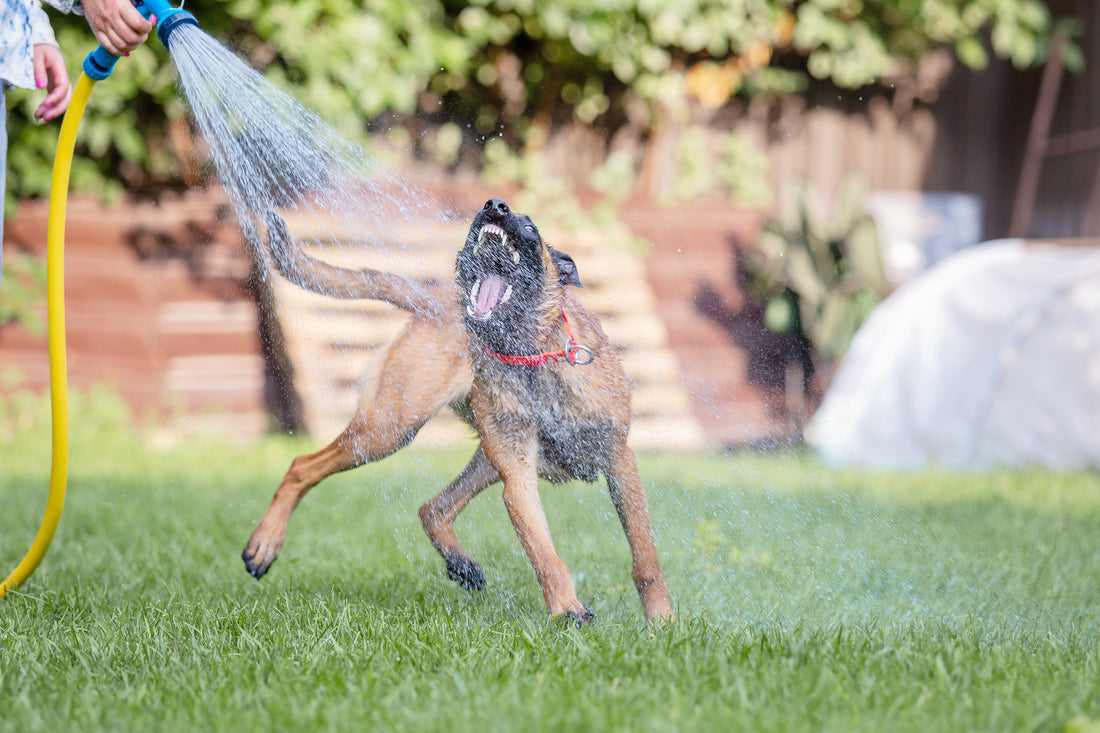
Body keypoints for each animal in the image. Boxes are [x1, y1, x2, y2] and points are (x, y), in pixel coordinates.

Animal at [243, 197, 668, 620]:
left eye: (531, 227)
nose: (495, 205)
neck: (530, 356)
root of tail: (435, 299)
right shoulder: (518, 477)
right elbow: (544, 554)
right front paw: (568, 611)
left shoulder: (619, 460)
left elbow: (645, 556)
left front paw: (661, 621)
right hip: (390, 429)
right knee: (303, 466)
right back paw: (265, 543)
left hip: (477, 455)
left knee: (433, 508)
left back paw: (460, 563)